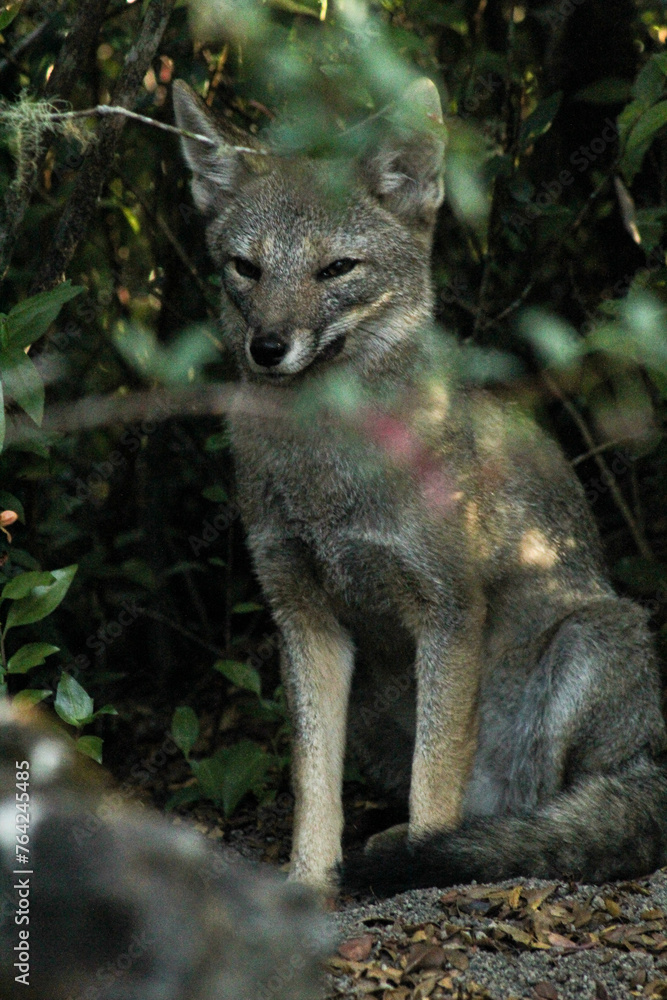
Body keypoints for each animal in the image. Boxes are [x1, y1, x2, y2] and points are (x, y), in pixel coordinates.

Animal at [173, 76, 667, 897]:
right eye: (246, 268)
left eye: (336, 269)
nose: (268, 348)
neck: (329, 474)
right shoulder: (303, 616)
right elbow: (314, 784)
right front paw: (307, 883)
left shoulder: (448, 610)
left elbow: (433, 773)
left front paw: (417, 859)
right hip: (378, 697)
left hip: (592, 639)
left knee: (549, 811)